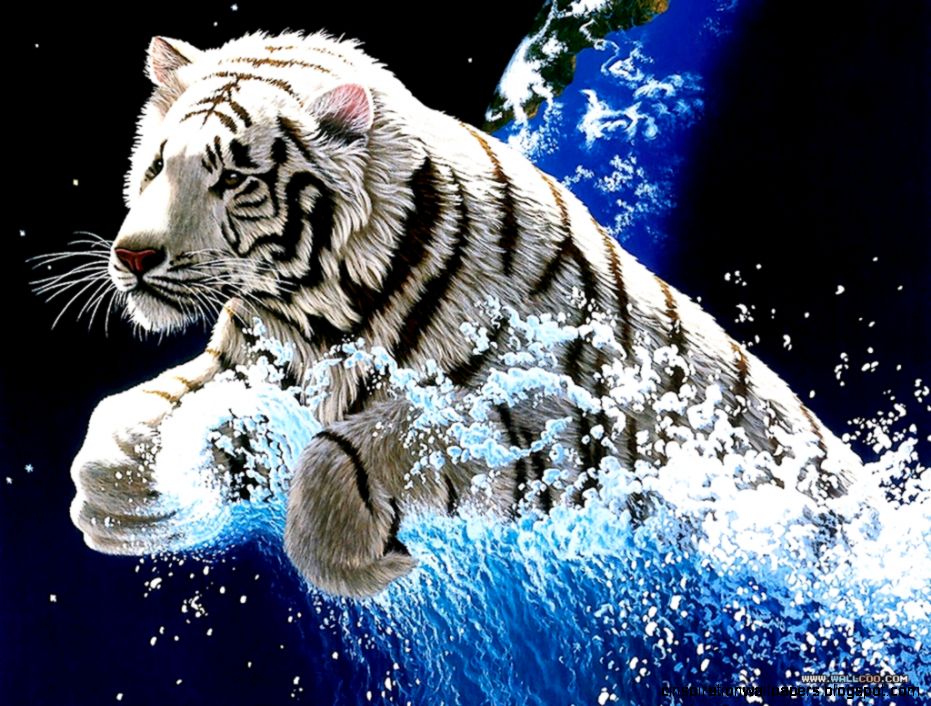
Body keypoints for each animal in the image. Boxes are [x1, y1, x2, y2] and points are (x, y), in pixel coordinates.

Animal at [68, 32, 862, 598]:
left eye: (233, 178)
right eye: (156, 166)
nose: (133, 256)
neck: (313, 312)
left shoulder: (551, 424)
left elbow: (356, 445)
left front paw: (363, 563)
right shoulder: (248, 362)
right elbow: (129, 412)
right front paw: (121, 498)